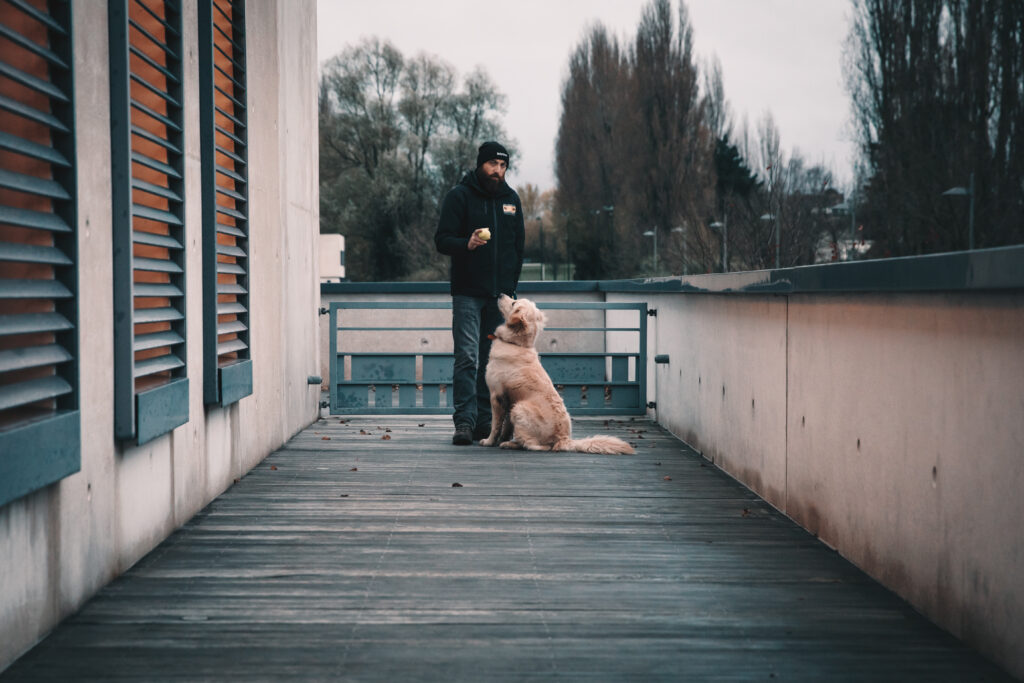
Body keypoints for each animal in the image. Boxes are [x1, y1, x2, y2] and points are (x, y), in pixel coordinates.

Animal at [479, 294, 630, 454]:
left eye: (514, 303)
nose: (500, 294)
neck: (516, 344)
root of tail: (563, 439)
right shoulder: (509, 401)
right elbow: (506, 427)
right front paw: (501, 438)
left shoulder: (496, 396)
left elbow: (495, 425)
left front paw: (489, 441)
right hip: (516, 407)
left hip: (519, 408)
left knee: (536, 445)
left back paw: (511, 444)